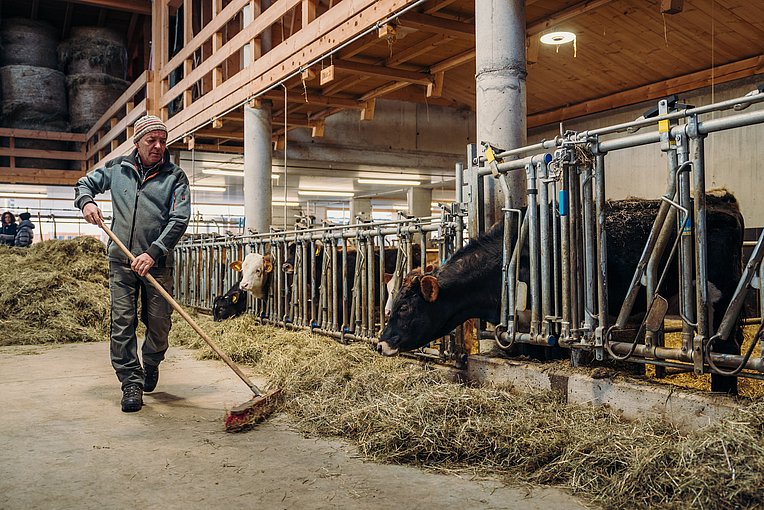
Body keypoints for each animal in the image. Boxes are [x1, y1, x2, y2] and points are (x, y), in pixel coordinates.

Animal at [382, 191, 748, 394]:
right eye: (392, 304)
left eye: (405, 309)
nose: (381, 342)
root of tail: (721, 202)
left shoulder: (546, 322)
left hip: (719, 297)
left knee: (726, 348)